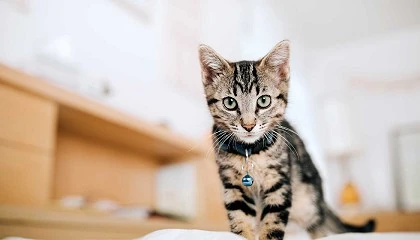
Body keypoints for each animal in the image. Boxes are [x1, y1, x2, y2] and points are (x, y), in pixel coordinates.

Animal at [197, 40, 374, 239]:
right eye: (229, 103)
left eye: (263, 101)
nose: (248, 125)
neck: (251, 153)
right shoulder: (233, 187)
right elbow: (240, 219)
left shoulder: (279, 182)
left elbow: (272, 223)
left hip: (307, 202)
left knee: (319, 226)